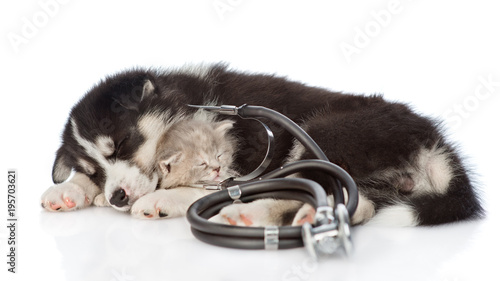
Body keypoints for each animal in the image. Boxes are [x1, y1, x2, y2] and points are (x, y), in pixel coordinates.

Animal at [41, 63, 482, 225]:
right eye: (95, 169)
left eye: (121, 144)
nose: (116, 197)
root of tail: (432, 137)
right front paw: (68, 190)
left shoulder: (243, 152)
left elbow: (208, 183)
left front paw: (160, 198)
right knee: (359, 201)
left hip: (322, 132)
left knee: (307, 185)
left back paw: (248, 213)